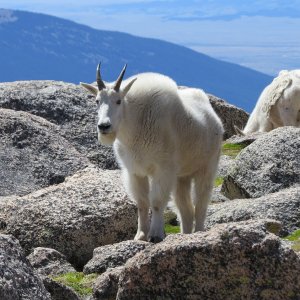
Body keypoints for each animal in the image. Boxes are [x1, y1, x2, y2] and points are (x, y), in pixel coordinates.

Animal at [81, 64, 224, 243]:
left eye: (118, 101)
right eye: (97, 101)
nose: (104, 126)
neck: (134, 125)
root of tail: (214, 118)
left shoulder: (162, 169)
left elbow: (156, 201)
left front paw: (155, 235)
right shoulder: (135, 171)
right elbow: (142, 203)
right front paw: (140, 235)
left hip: (207, 167)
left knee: (201, 203)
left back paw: (198, 232)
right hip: (181, 177)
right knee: (185, 209)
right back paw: (185, 235)